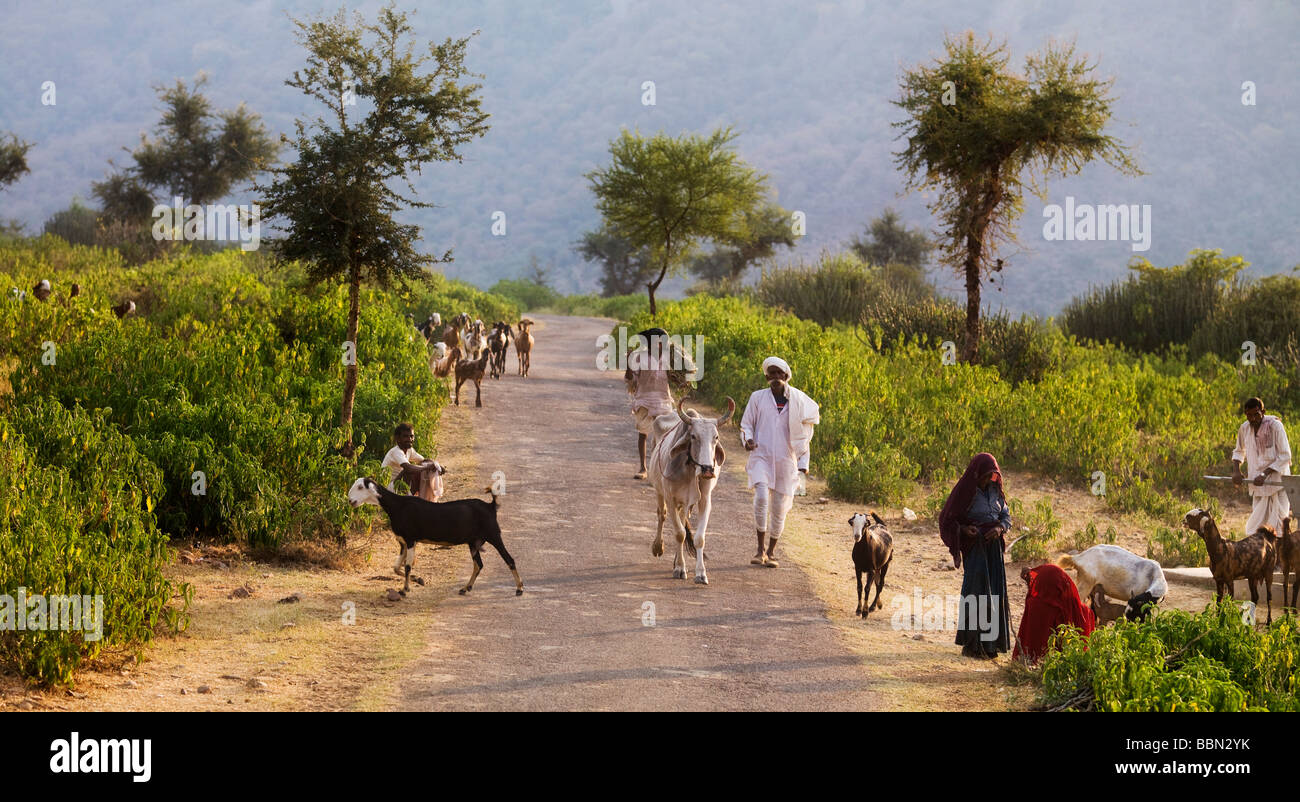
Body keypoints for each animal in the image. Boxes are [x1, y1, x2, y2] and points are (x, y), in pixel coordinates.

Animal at [351, 475, 527, 595]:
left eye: (360, 487)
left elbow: (407, 566)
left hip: (493, 535)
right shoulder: (403, 542)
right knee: (479, 564)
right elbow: (396, 567)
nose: (350, 501)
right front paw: (418, 580)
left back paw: (519, 588)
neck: (397, 506)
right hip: (473, 542)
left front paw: (405, 589)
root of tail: (491, 506)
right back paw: (465, 588)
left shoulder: (410, 539)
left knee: (509, 559)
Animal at [647, 397, 733, 584]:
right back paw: (658, 547)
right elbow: (679, 533)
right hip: (659, 491)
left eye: (716, 437)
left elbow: (699, 538)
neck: (689, 470)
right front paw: (680, 568)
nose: (708, 469)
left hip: (684, 503)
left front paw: (700, 573)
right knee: (661, 515)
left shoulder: (704, 500)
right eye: (693, 436)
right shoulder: (670, 498)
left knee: (681, 519)